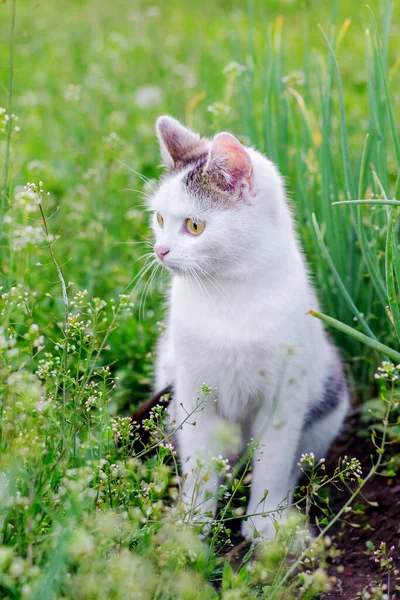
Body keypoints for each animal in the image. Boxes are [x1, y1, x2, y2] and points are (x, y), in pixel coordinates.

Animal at [148, 113, 348, 540]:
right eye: (159, 219)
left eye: (194, 225)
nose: (160, 250)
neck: (228, 295)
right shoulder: (194, 392)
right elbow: (200, 462)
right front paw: (193, 523)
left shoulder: (285, 397)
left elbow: (273, 462)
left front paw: (265, 526)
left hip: (328, 404)